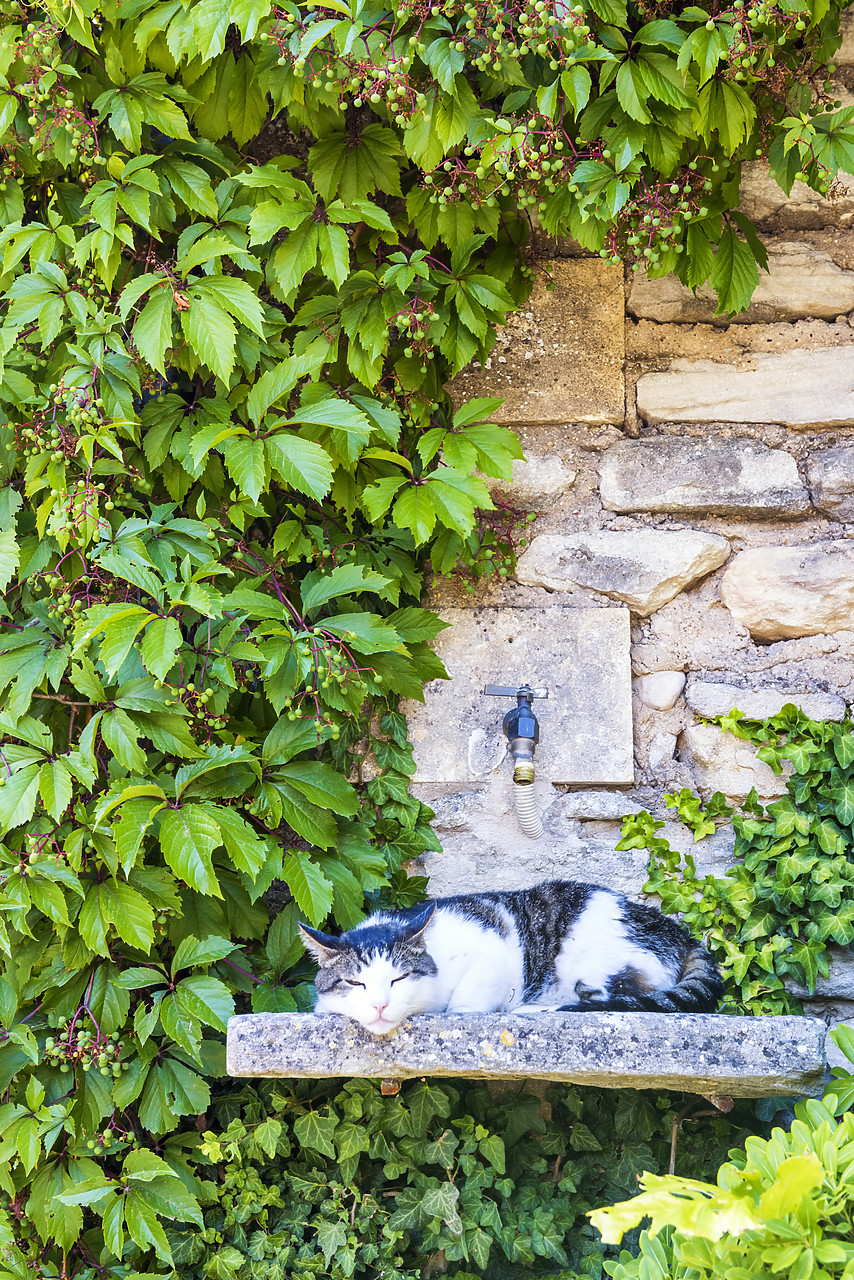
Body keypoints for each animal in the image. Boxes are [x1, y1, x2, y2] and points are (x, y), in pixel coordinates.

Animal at [300, 880, 722, 1039]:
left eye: (398, 979)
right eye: (355, 983)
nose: (380, 1005)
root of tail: (679, 933)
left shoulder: (492, 953)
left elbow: (466, 1002)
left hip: (593, 956)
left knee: (613, 995)